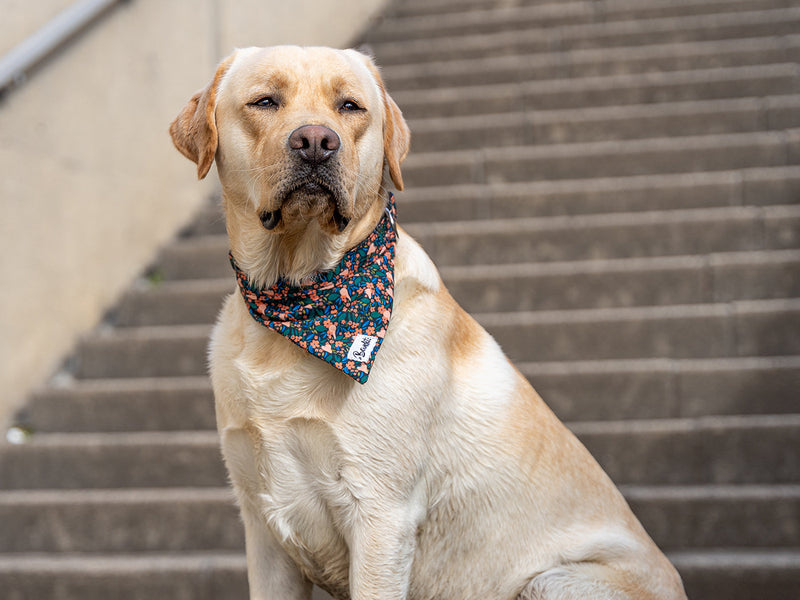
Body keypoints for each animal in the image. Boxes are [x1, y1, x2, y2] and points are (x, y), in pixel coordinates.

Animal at [170, 47, 688, 600]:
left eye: (350, 106)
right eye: (264, 101)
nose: (315, 142)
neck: (300, 299)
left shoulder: (381, 514)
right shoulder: (263, 525)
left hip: (552, 580)